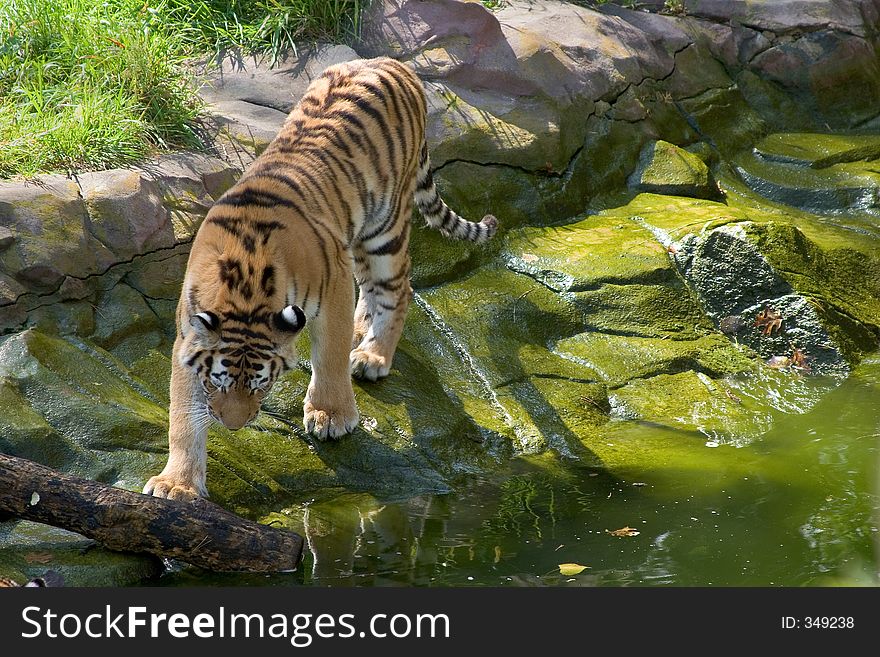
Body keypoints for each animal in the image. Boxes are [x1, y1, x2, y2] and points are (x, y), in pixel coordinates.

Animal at [146, 57, 502, 498]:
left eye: (261, 384)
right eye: (218, 383)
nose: (235, 425)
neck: (246, 285)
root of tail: (390, 61)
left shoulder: (332, 285)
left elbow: (329, 355)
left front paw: (331, 415)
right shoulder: (188, 335)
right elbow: (183, 413)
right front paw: (176, 484)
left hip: (384, 229)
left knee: (399, 288)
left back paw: (372, 356)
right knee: (373, 290)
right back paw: (361, 333)